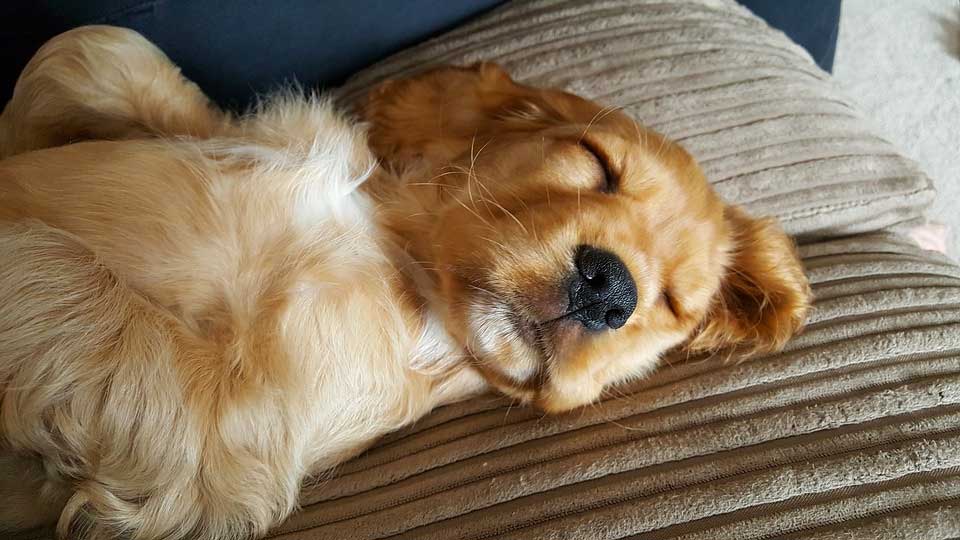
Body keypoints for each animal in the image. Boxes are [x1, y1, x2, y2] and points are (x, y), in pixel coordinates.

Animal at [0, 26, 808, 540]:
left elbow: (58, 272)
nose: (611, 290)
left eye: (671, 303)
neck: (400, 250)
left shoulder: (229, 432)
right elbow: (97, 48)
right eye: (596, 162)